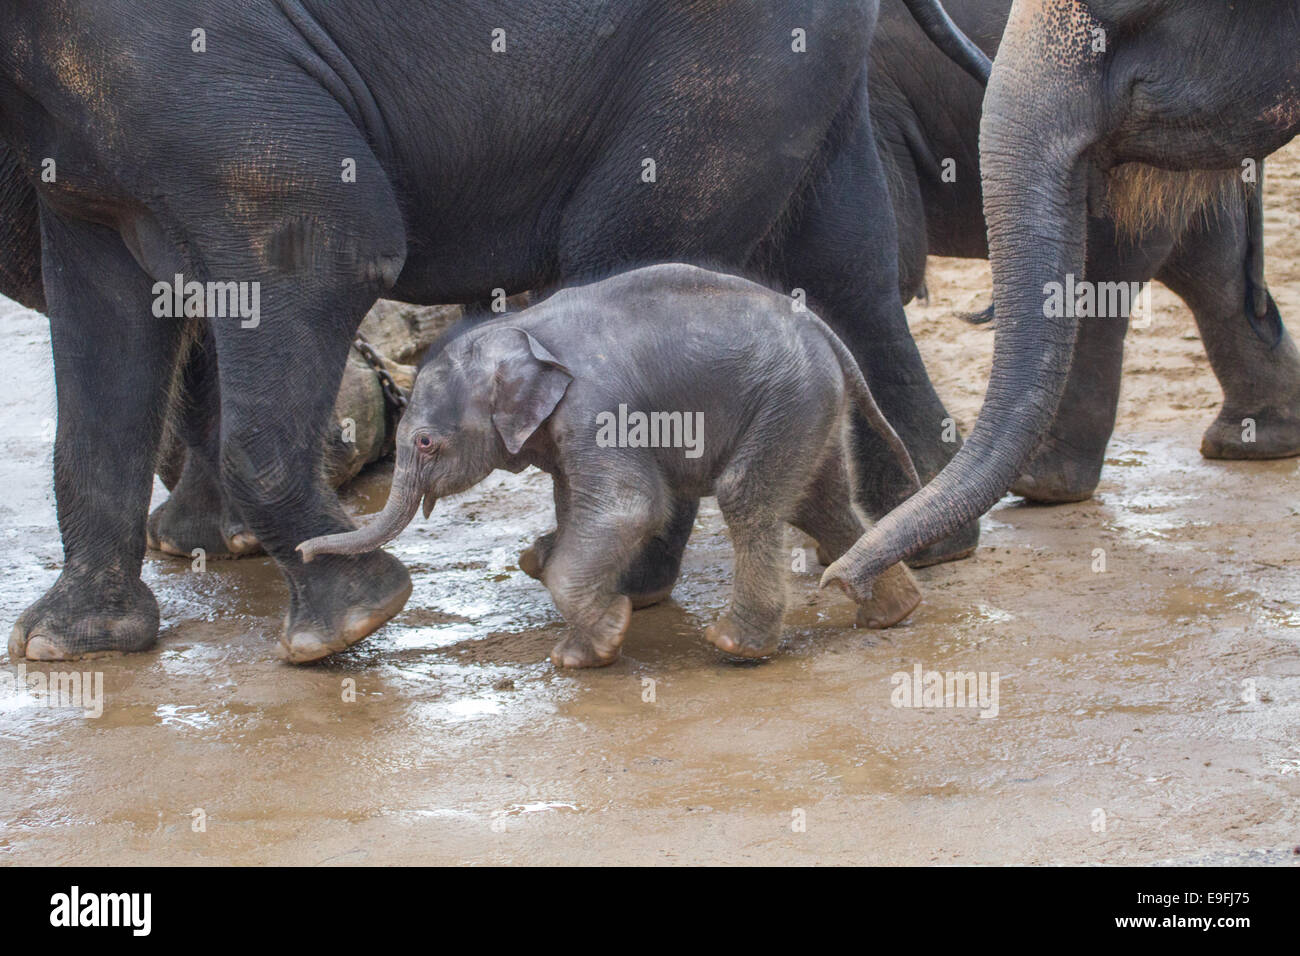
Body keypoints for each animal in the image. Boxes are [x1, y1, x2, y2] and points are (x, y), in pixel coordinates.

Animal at [297, 261, 920, 665]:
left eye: (425, 442)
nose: (303, 552)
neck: (520, 329)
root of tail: (824, 333)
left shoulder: (599, 407)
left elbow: (629, 507)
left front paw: (594, 643)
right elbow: (577, 501)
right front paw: (552, 583)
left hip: (786, 398)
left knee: (748, 496)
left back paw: (734, 647)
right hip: (804, 406)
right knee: (822, 500)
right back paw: (893, 613)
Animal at [826, 0, 1300, 598]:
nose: (840, 583)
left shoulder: (871, 95)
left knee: (1118, 270)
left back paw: (1046, 484)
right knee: (1208, 267)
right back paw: (1251, 441)